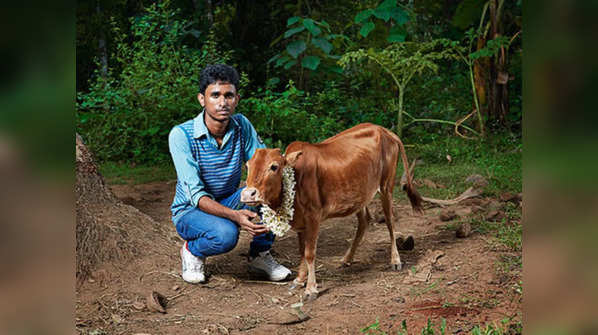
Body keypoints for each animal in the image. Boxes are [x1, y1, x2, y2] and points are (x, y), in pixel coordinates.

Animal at [241, 122, 424, 300]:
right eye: (248, 165)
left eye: (274, 166)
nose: (248, 194)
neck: (296, 176)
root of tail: (385, 130)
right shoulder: (301, 220)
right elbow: (302, 251)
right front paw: (299, 280)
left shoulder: (313, 216)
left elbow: (310, 253)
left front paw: (311, 289)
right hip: (359, 193)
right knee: (364, 221)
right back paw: (347, 258)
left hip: (386, 186)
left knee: (390, 221)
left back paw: (395, 260)